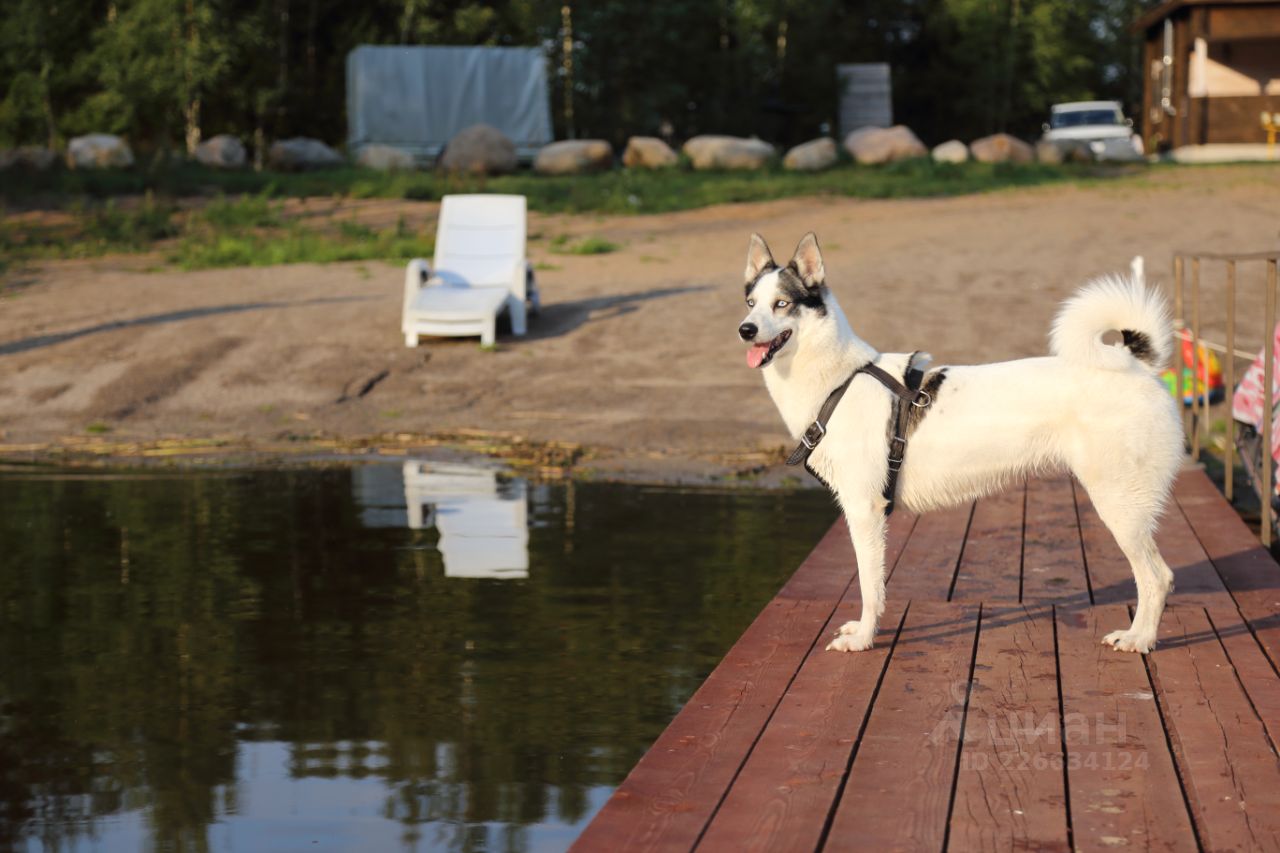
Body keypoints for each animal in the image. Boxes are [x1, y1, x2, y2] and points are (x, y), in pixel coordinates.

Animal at [747, 233, 1182, 650]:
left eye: (782, 303)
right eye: (751, 302)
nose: (744, 330)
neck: (840, 379)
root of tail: (1136, 363)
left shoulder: (864, 510)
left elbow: (870, 587)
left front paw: (863, 639)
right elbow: (876, 586)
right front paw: (863, 631)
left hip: (1120, 506)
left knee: (1157, 578)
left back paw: (1139, 640)